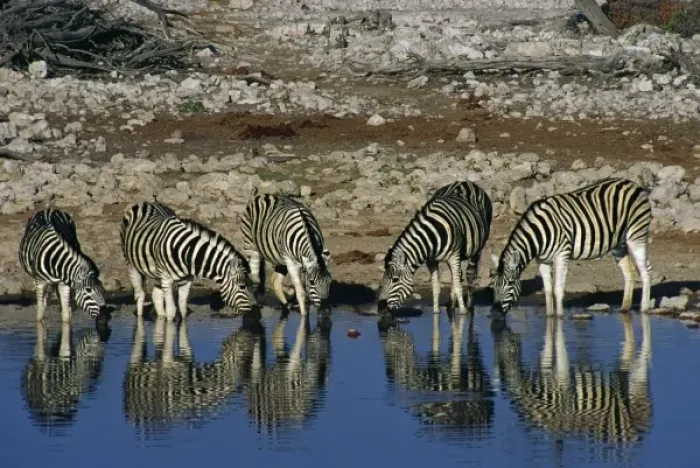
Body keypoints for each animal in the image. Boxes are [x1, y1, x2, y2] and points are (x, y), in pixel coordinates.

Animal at [120, 201, 257, 320]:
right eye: (242, 287)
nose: (253, 312)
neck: (185, 252)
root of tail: (147, 202)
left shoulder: (186, 281)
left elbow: (183, 309)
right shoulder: (167, 279)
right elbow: (172, 310)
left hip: (157, 273)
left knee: (156, 296)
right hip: (131, 264)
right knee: (140, 295)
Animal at [378, 180, 492, 317]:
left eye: (395, 280)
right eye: (383, 278)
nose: (381, 309)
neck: (431, 236)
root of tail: (465, 181)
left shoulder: (453, 256)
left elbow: (459, 286)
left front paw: (463, 313)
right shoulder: (431, 261)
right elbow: (436, 287)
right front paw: (436, 312)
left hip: (478, 247)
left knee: (469, 274)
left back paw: (469, 306)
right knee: (457, 275)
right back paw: (451, 305)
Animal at [490, 178, 652, 318]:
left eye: (510, 283)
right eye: (493, 285)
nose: (495, 312)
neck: (540, 234)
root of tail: (633, 183)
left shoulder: (562, 255)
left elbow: (558, 289)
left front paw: (559, 318)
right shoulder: (542, 261)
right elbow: (548, 290)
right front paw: (550, 317)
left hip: (636, 235)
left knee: (646, 270)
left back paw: (644, 309)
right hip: (619, 244)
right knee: (629, 271)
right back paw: (625, 308)